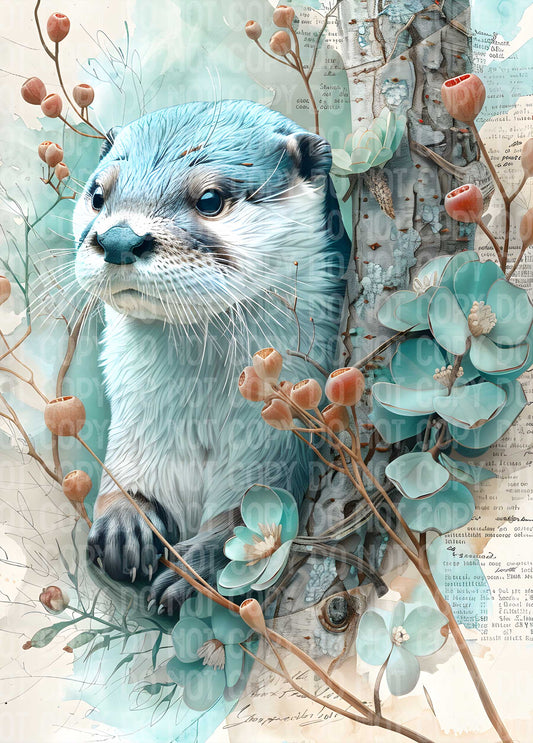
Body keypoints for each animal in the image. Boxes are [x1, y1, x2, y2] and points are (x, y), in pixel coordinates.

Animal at [73, 100, 350, 614]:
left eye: (209, 200)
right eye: (98, 195)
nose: (119, 239)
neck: (201, 409)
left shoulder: (277, 446)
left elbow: (251, 519)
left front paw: (196, 569)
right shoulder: (137, 424)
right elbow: (127, 480)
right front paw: (125, 523)